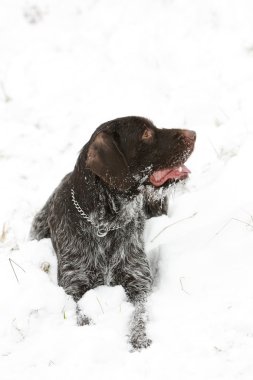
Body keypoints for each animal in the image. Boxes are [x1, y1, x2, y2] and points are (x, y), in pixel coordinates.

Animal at [30, 116, 196, 350]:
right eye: (146, 134)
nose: (193, 134)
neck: (104, 224)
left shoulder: (139, 282)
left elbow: (139, 314)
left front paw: (139, 337)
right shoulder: (73, 285)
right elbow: (80, 313)